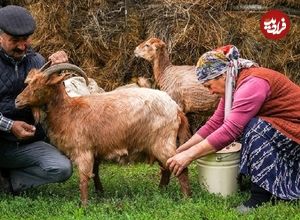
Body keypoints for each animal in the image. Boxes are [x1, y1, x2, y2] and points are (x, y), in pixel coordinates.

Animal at [14, 63, 191, 206]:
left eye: (39, 85)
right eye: (29, 83)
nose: (17, 101)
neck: (69, 111)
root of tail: (176, 109)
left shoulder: (83, 150)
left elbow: (84, 179)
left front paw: (84, 205)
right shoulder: (95, 150)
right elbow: (95, 174)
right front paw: (99, 193)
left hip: (162, 142)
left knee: (179, 167)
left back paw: (185, 198)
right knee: (166, 168)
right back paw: (161, 191)